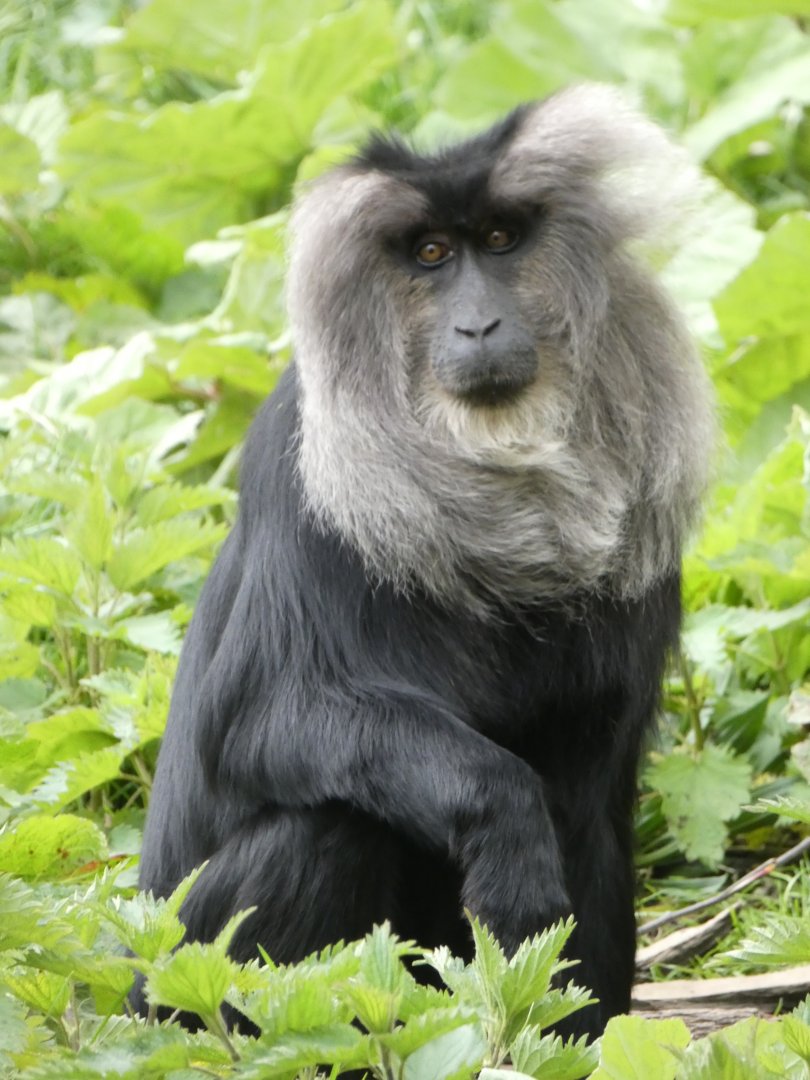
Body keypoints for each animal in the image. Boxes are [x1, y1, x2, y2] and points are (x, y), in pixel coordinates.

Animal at [135, 84, 714, 1039]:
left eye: (502, 239)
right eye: (432, 255)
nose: (478, 323)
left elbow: (590, 787)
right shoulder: (303, 477)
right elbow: (259, 717)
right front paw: (509, 835)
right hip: (178, 973)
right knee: (332, 826)